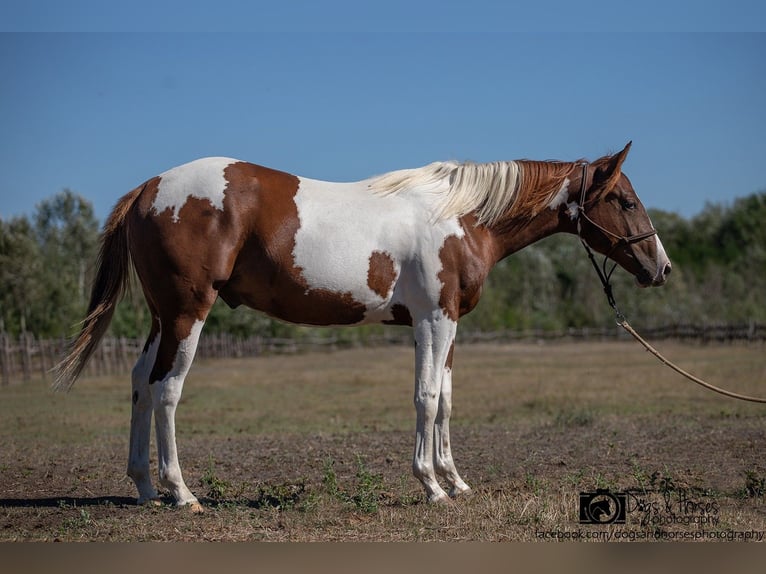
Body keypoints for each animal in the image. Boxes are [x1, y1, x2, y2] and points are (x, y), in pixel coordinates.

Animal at [54, 142, 671, 511]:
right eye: (625, 200)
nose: (661, 267)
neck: (463, 217)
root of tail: (149, 189)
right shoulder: (432, 320)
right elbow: (426, 398)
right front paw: (431, 486)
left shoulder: (448, 324)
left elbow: (446, 400)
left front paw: (455, 480)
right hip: (187, 314)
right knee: (166, 391)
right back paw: (181, 492)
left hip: (162, 318)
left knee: (139, 382)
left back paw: (143, 486)